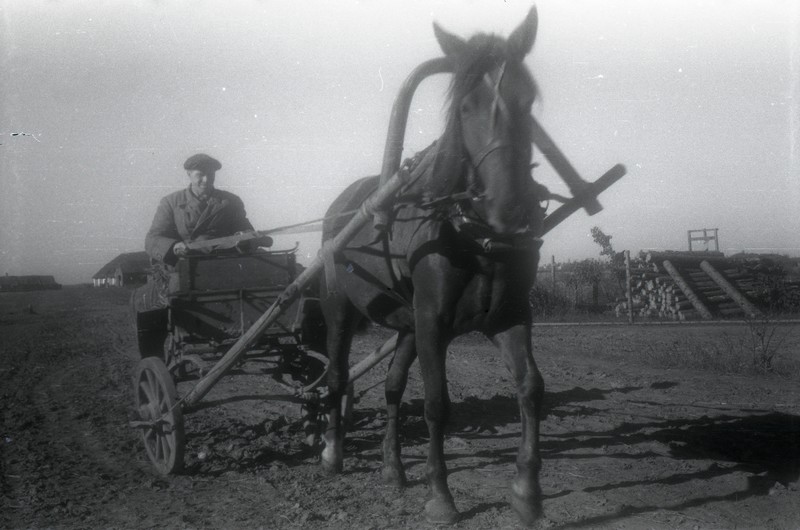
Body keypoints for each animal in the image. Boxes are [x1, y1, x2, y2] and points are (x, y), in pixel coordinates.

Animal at [318, 8, 544, 524]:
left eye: (529, 101)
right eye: (463, 108)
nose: (511, 211)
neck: (472, 237)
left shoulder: (508, 315)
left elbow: (528, 386)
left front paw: (526, 491)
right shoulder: (432, 321)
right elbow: (438, 403)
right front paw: (440, 497)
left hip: (405, 323)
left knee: (392, 386)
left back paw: (392, 466)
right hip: (339, 308)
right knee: (338, 376)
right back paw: (333, 453)